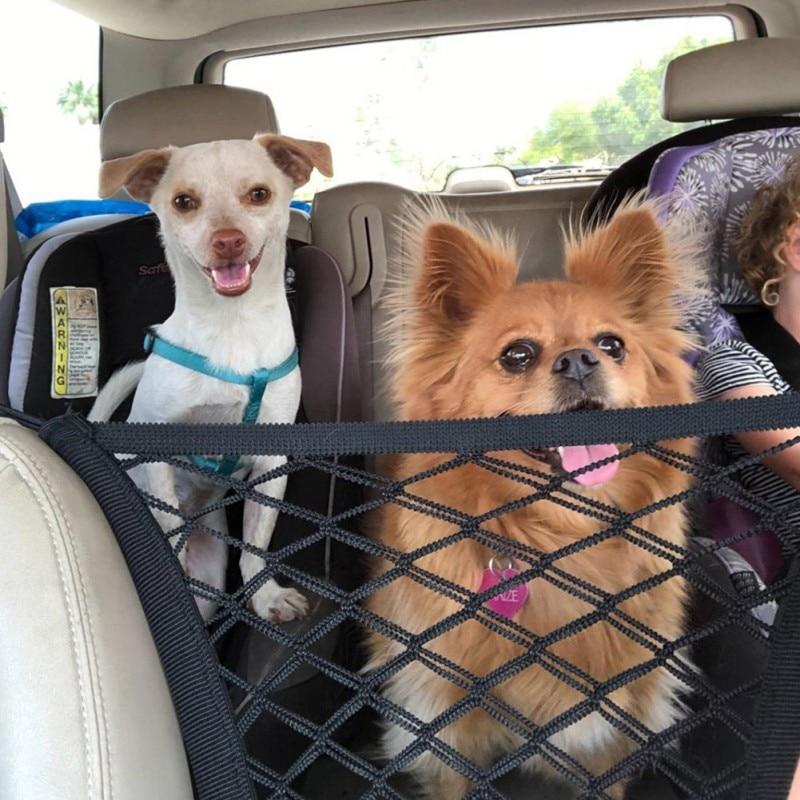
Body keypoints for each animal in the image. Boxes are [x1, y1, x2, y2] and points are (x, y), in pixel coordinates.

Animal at [90, 131, 332, 620]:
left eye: (258, 194)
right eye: (184, 202)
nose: (228, 241)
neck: (230, 326)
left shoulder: (271, 463)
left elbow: (255, 545)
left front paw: (266, 596)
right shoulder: (158, 451)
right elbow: (167, 525)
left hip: (213, 571)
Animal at [366, 202, 696, 800]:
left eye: (612, 345)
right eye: (517, 355)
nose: (580, 360)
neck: (561, 536)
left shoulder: (611, 726)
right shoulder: (444, 722)